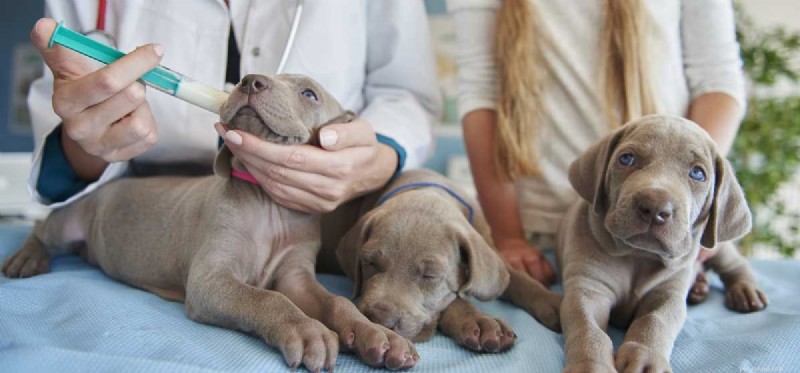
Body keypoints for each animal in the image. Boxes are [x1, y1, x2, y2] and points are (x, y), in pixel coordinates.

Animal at [1, 74, 418, 370]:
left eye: (310, 94)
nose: (251, 80)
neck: (268, 205)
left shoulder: (297, 275)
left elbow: (335, 301)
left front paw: (377, 335)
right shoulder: (210, 279)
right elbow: (268, 297)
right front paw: (306, 330)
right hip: (69, 219)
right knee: (42, 229)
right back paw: (27, 259)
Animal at [320, 168, 564, 352]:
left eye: (430, 276)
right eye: (370, 263)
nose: (380, 320)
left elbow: (520, 280)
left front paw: (552, 301)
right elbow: (455, 299)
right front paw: (479, 321)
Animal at [552, 115, 764, 372]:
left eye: (697, 173)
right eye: (626, 158)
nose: (654, 207)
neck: (639, 256)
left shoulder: (667, 294)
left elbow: (654, 322)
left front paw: (645, 358)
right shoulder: (588, 288)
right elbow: (588, 329)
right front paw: (591, 364)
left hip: (715, 247)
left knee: (735, 264)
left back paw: (745, 290)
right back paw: (699, 288)